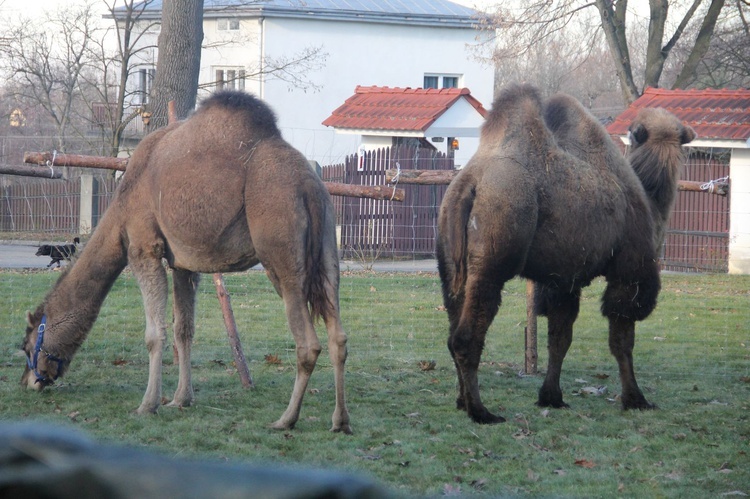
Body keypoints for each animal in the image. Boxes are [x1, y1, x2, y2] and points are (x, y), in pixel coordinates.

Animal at [19, 90, 354, 434]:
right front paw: (181, 399)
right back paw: (340, 420)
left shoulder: (144, 248)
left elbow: (155, 335)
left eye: (27, 345)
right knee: (338, 336)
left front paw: (148, 405)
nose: (29, 381)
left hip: (280, 252)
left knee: (308, 343)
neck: (121, 209)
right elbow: (184, 329)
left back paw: (286, 419)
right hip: (328, 250)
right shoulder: (183, 264)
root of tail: (308, 185)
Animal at [438, 84, 696, 424]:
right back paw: (482, 412)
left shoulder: (562, 280)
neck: (650, 205)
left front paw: (552, 397)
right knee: (466, 336)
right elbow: (621, 338)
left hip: (450, 266)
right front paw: (636, 399)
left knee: (452, 326)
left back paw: (461, 401)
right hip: (492, 260)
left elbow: (559, 338)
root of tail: (470, 183)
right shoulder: (629, 271)